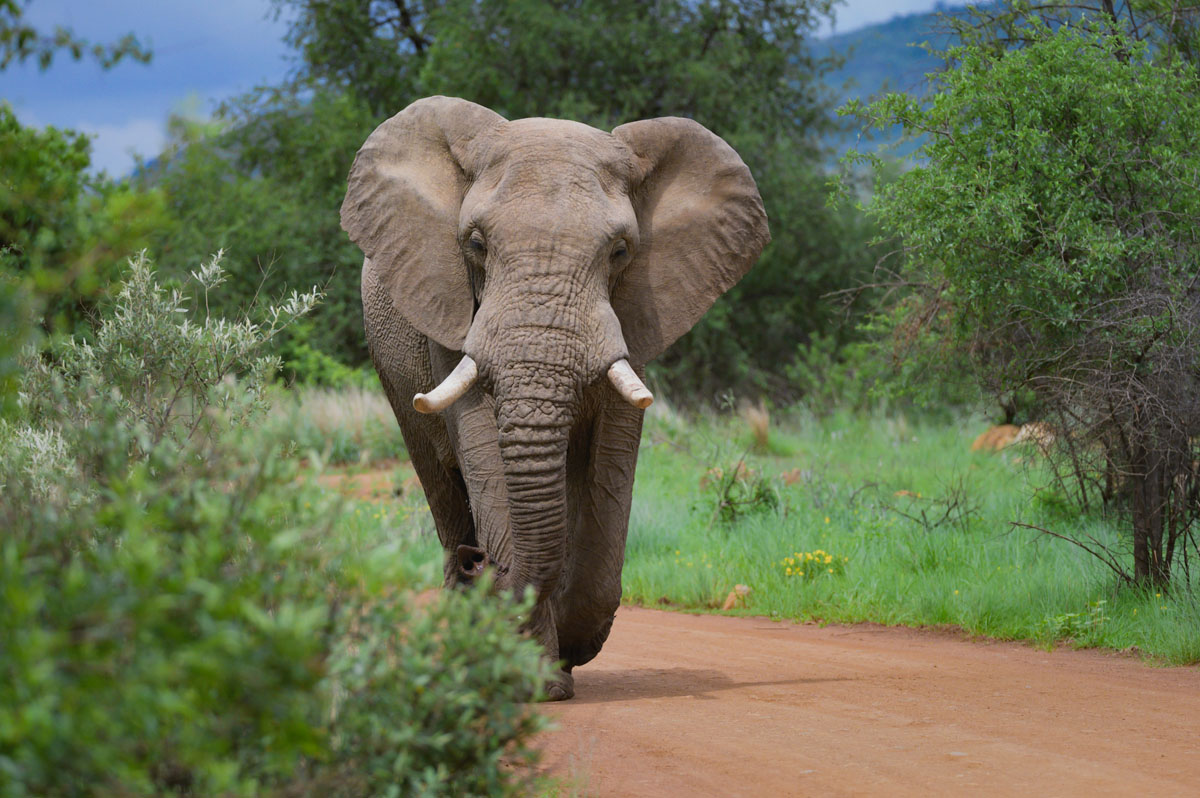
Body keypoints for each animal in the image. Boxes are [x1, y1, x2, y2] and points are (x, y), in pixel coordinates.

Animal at [341, 96, 769, 700]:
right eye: (475, 245)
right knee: (443, 487)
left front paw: (564, 657)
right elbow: (486, 456)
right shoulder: (452, 314)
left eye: (620, 251)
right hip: (392, 372)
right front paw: (530, 676)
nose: (481, 565)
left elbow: (609, 467)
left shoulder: (633, 316)